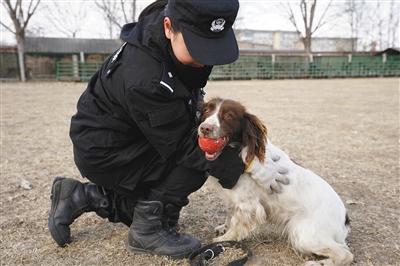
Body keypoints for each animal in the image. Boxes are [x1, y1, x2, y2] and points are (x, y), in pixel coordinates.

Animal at [198, 97, 354, 266]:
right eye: (207, 110)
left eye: (229, 116)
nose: (205, 128)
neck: (238, 151)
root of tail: (344, 218)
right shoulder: (233, 200)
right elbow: (230, 215)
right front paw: (223, 228)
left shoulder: (248, 204)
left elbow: (236, 225)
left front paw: (223, 240)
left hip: (303, 233)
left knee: (345, 254)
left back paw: (317, 263)